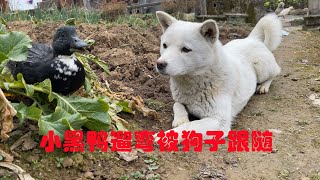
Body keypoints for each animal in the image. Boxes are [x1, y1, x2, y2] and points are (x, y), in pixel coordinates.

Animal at [155, 11, 282, 143]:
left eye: (186, 49)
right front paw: (180, 119)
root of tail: (252, 38)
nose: (160, 64)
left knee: (276, 72)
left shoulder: (219, 121)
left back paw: (264, 86)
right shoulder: (180, 100)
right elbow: (177, 105)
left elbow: (190, 126)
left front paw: (165, 136)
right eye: (165, 45)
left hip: (262, 69)